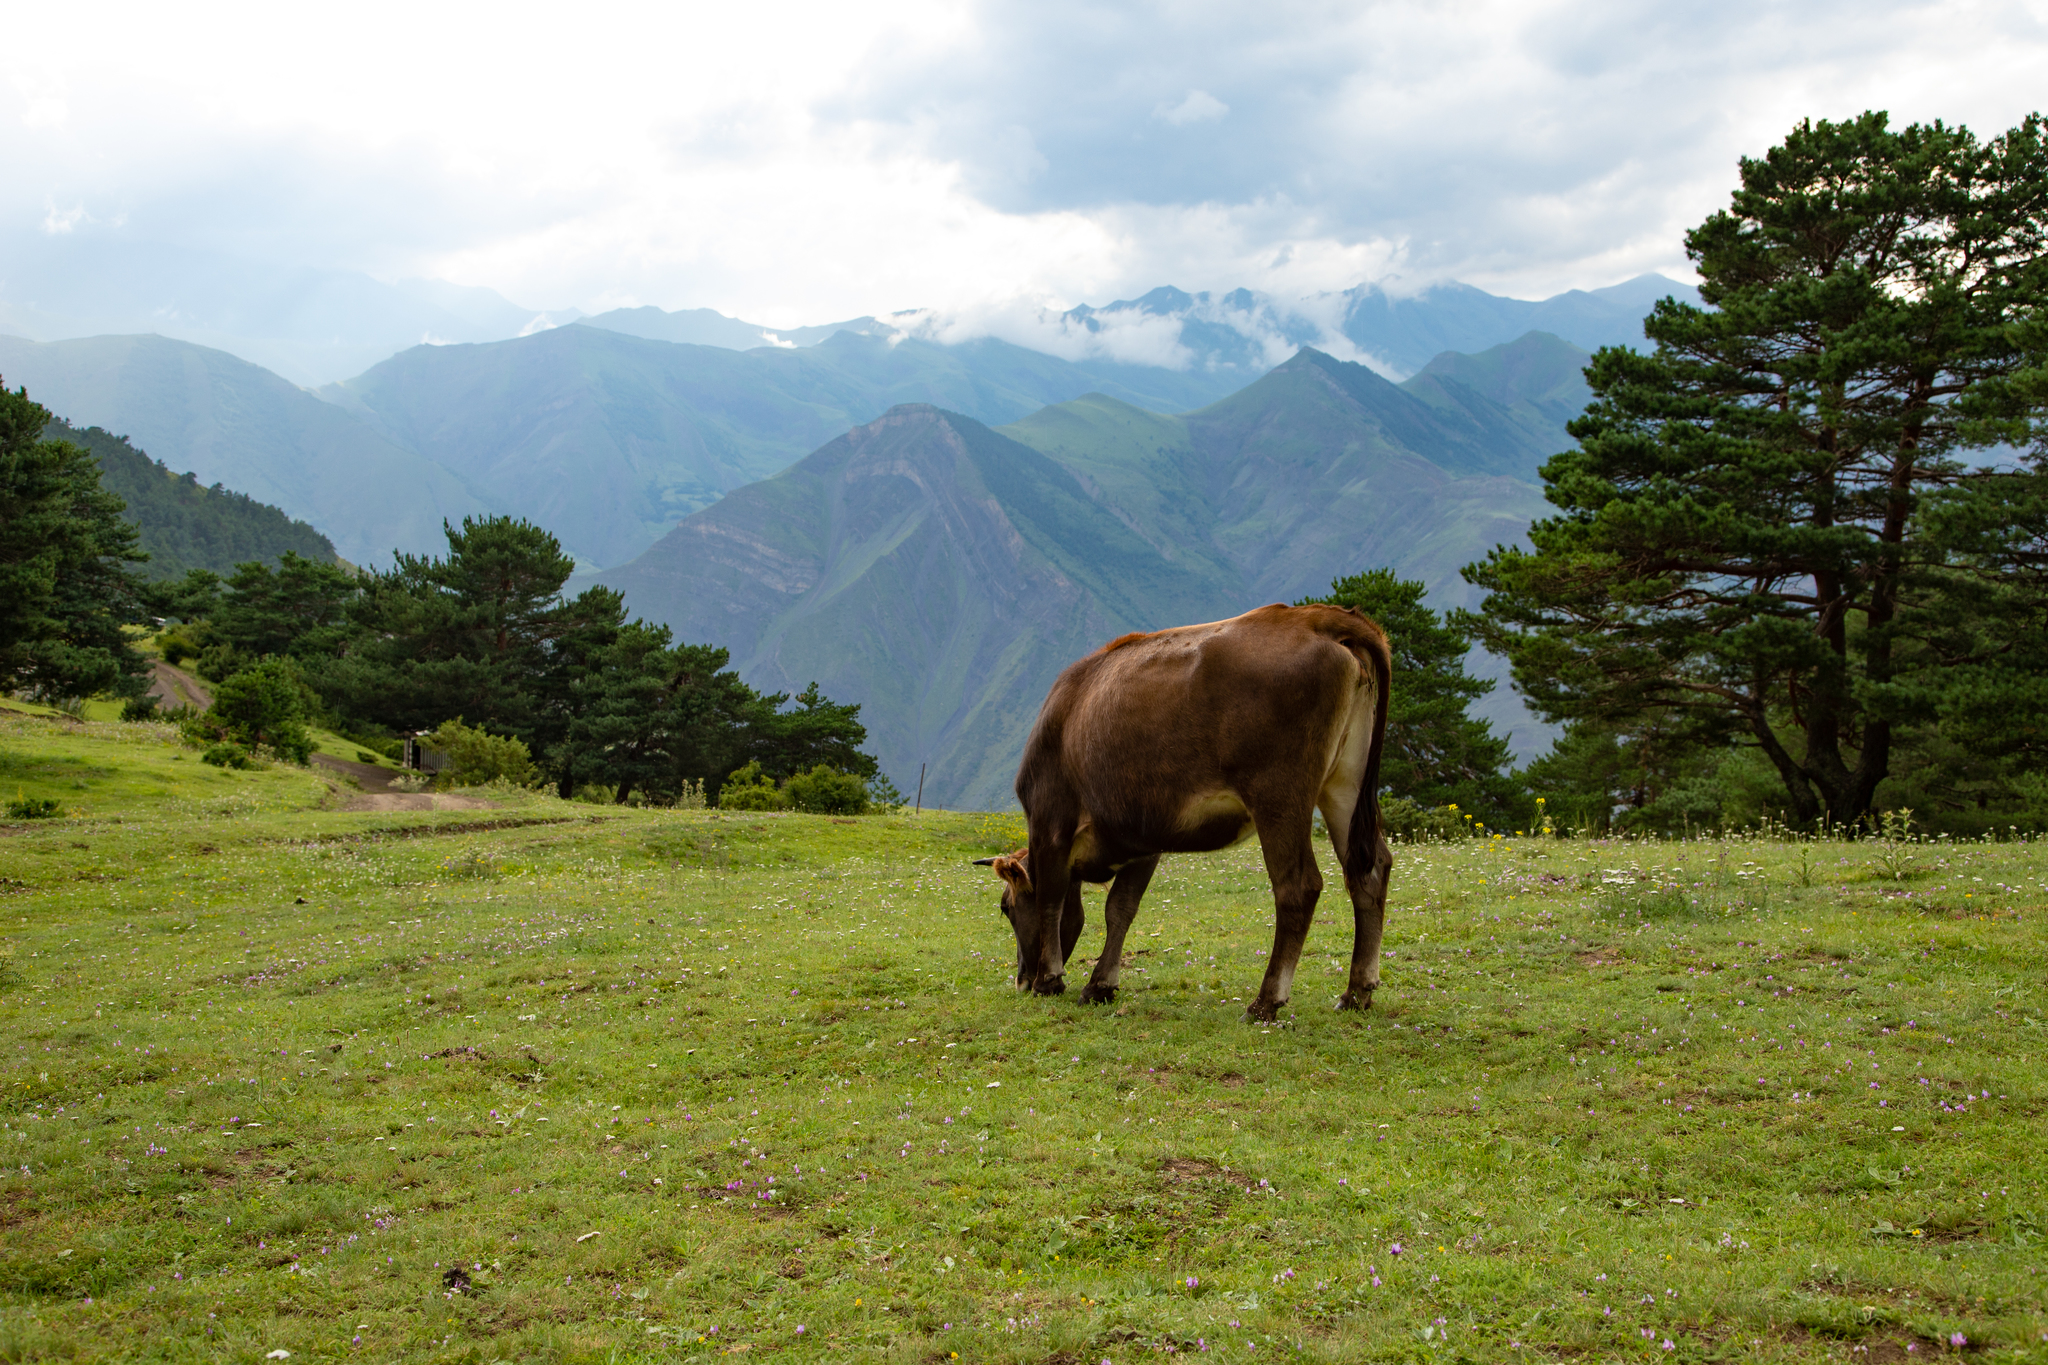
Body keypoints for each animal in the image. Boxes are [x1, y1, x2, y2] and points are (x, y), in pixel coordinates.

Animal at [974, 601, 1392, 1019]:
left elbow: (1051, 900)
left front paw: (1049, 980)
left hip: (1279, 793)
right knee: (1370, 870)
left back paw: (1265, 1002)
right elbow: (1119, 909)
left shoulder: (1050, 823)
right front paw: (1100, 984)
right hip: (1344, 785)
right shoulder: (1142, 838)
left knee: (1298, 886)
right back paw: (1356, 992)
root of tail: (1317, 616)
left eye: (1006, 907)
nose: (1021, 980)